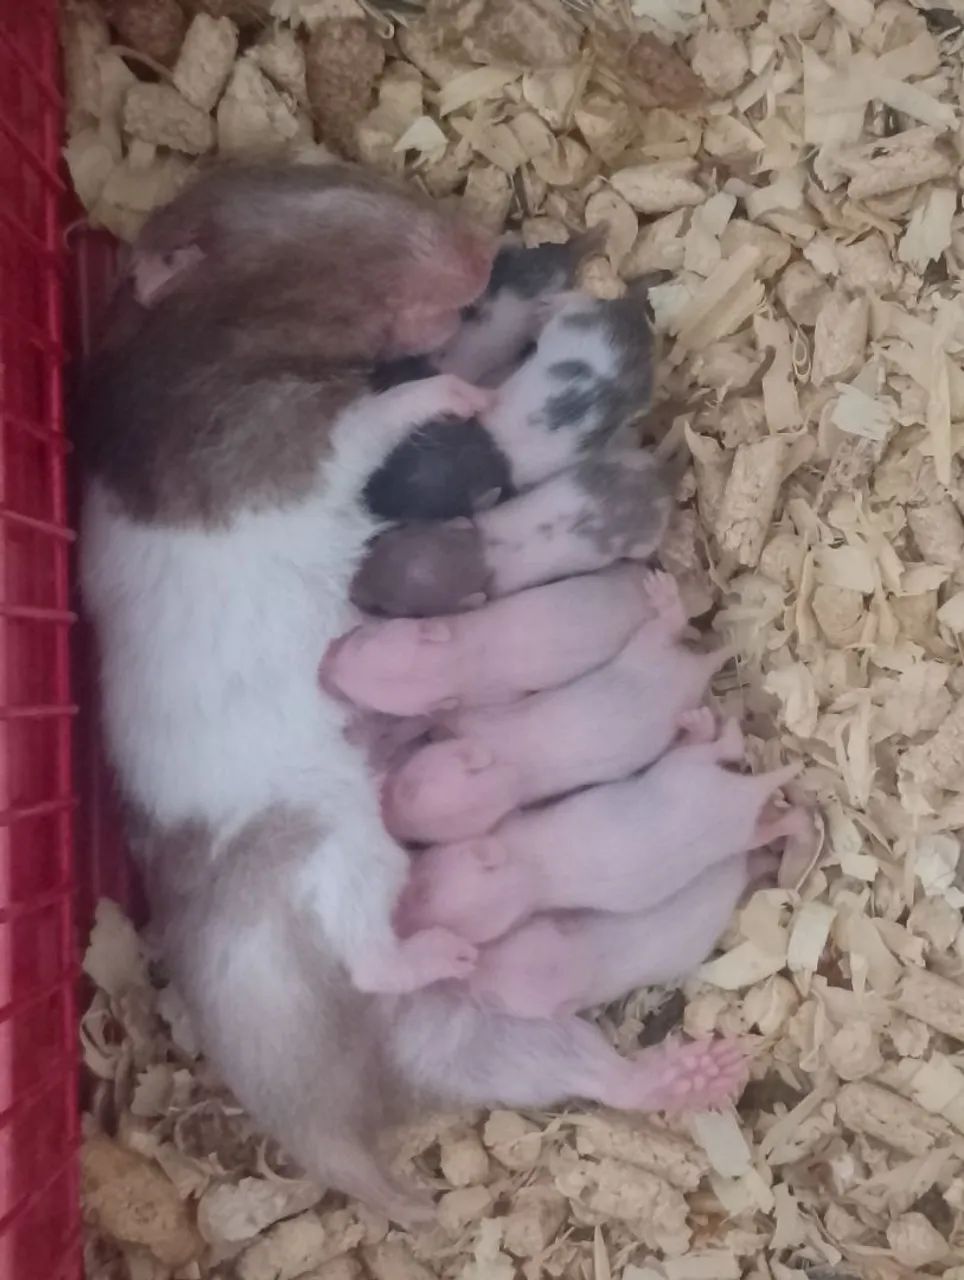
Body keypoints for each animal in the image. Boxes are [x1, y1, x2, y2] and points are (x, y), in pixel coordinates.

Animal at [80, 162, 744, 1224]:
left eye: (331, 172)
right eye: (329, 215)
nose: (479, 252)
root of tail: (333, 1119)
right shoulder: (284, 441)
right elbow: (380, 417)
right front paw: (459, 388)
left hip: (488, 1036)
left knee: (579, 1067)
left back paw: (684, 1075)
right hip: (327, 839)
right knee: (363, 945)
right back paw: (426, 954)